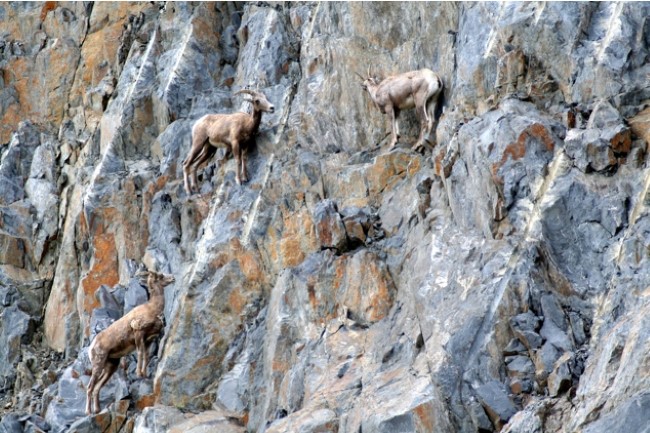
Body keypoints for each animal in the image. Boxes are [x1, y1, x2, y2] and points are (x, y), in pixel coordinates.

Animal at [85, 270, 175, 415]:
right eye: (160, 276)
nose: (172, 278)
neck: (152, 308)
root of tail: (92, 346)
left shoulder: (148, 339)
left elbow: (146, 356)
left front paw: (144, 374)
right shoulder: (138, 334)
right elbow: (140, 354)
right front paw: (139, 374)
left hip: (111, 366)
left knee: (97, 387)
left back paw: (97, 410)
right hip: (98, 364)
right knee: (90, 387)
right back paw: (88, 412)